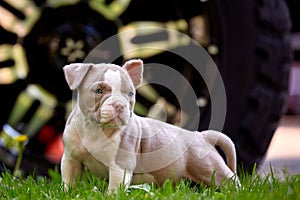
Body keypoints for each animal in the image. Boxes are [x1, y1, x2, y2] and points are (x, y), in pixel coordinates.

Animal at [61, 59, 239, 192]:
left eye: (130, 94)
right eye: (98, 90)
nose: (120, 105)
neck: (94, 129)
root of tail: (203, 136)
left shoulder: (120, 166)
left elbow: (115, 188)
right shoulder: (71, 159)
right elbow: (69, 180)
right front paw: (68, 192)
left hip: (209, 167)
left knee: (230, 180)